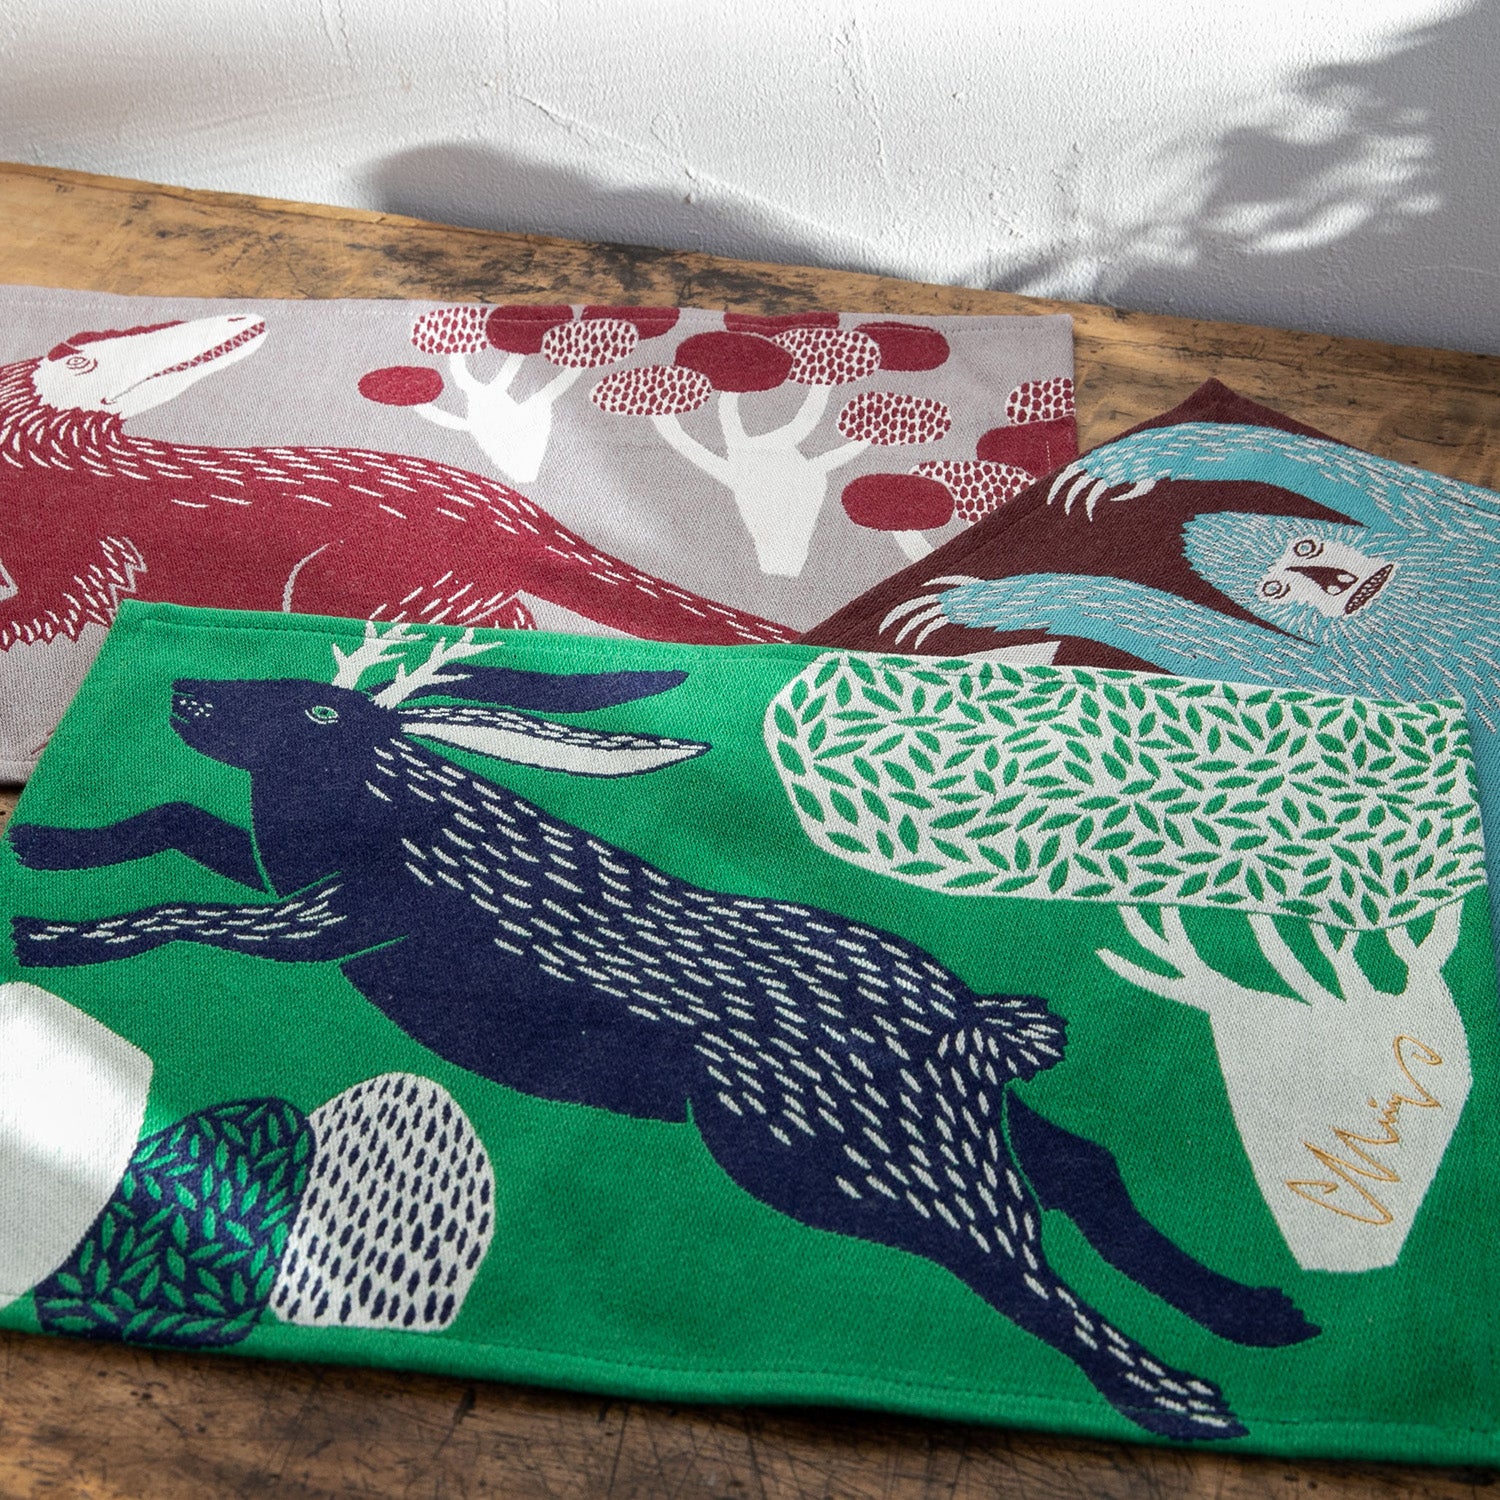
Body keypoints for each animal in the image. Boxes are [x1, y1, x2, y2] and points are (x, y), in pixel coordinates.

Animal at [6, 624, 1318, 1439]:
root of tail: (973, 1022)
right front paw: (52, 848)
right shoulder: (300, 892)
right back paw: (1261, 1316)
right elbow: (183, 823)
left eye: (322, 710)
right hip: (964, 1125)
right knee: (1084, 1164)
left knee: (1026, 1271)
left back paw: (1185, 1402)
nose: (185, 695)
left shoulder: (336, 923)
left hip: (835, 1158)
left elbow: (186, 914)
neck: (373, 803)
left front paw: (51, 940)